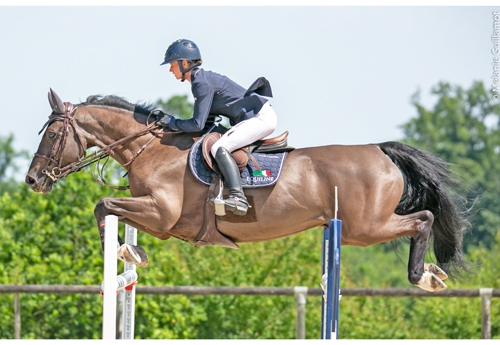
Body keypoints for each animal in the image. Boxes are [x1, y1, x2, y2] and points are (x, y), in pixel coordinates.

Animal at [26, 88, 472, 290]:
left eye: (52, 134)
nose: (32, 181)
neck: (150, 149)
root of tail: (380, 151)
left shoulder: (161, 213)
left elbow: (103, 205)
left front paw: (125, 251)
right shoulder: (159, 218)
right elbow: (109, 208)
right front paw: (130, 252)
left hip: (366, 227)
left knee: (423, 218)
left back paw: (424, 275)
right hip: (361, 227)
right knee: (422, 218)